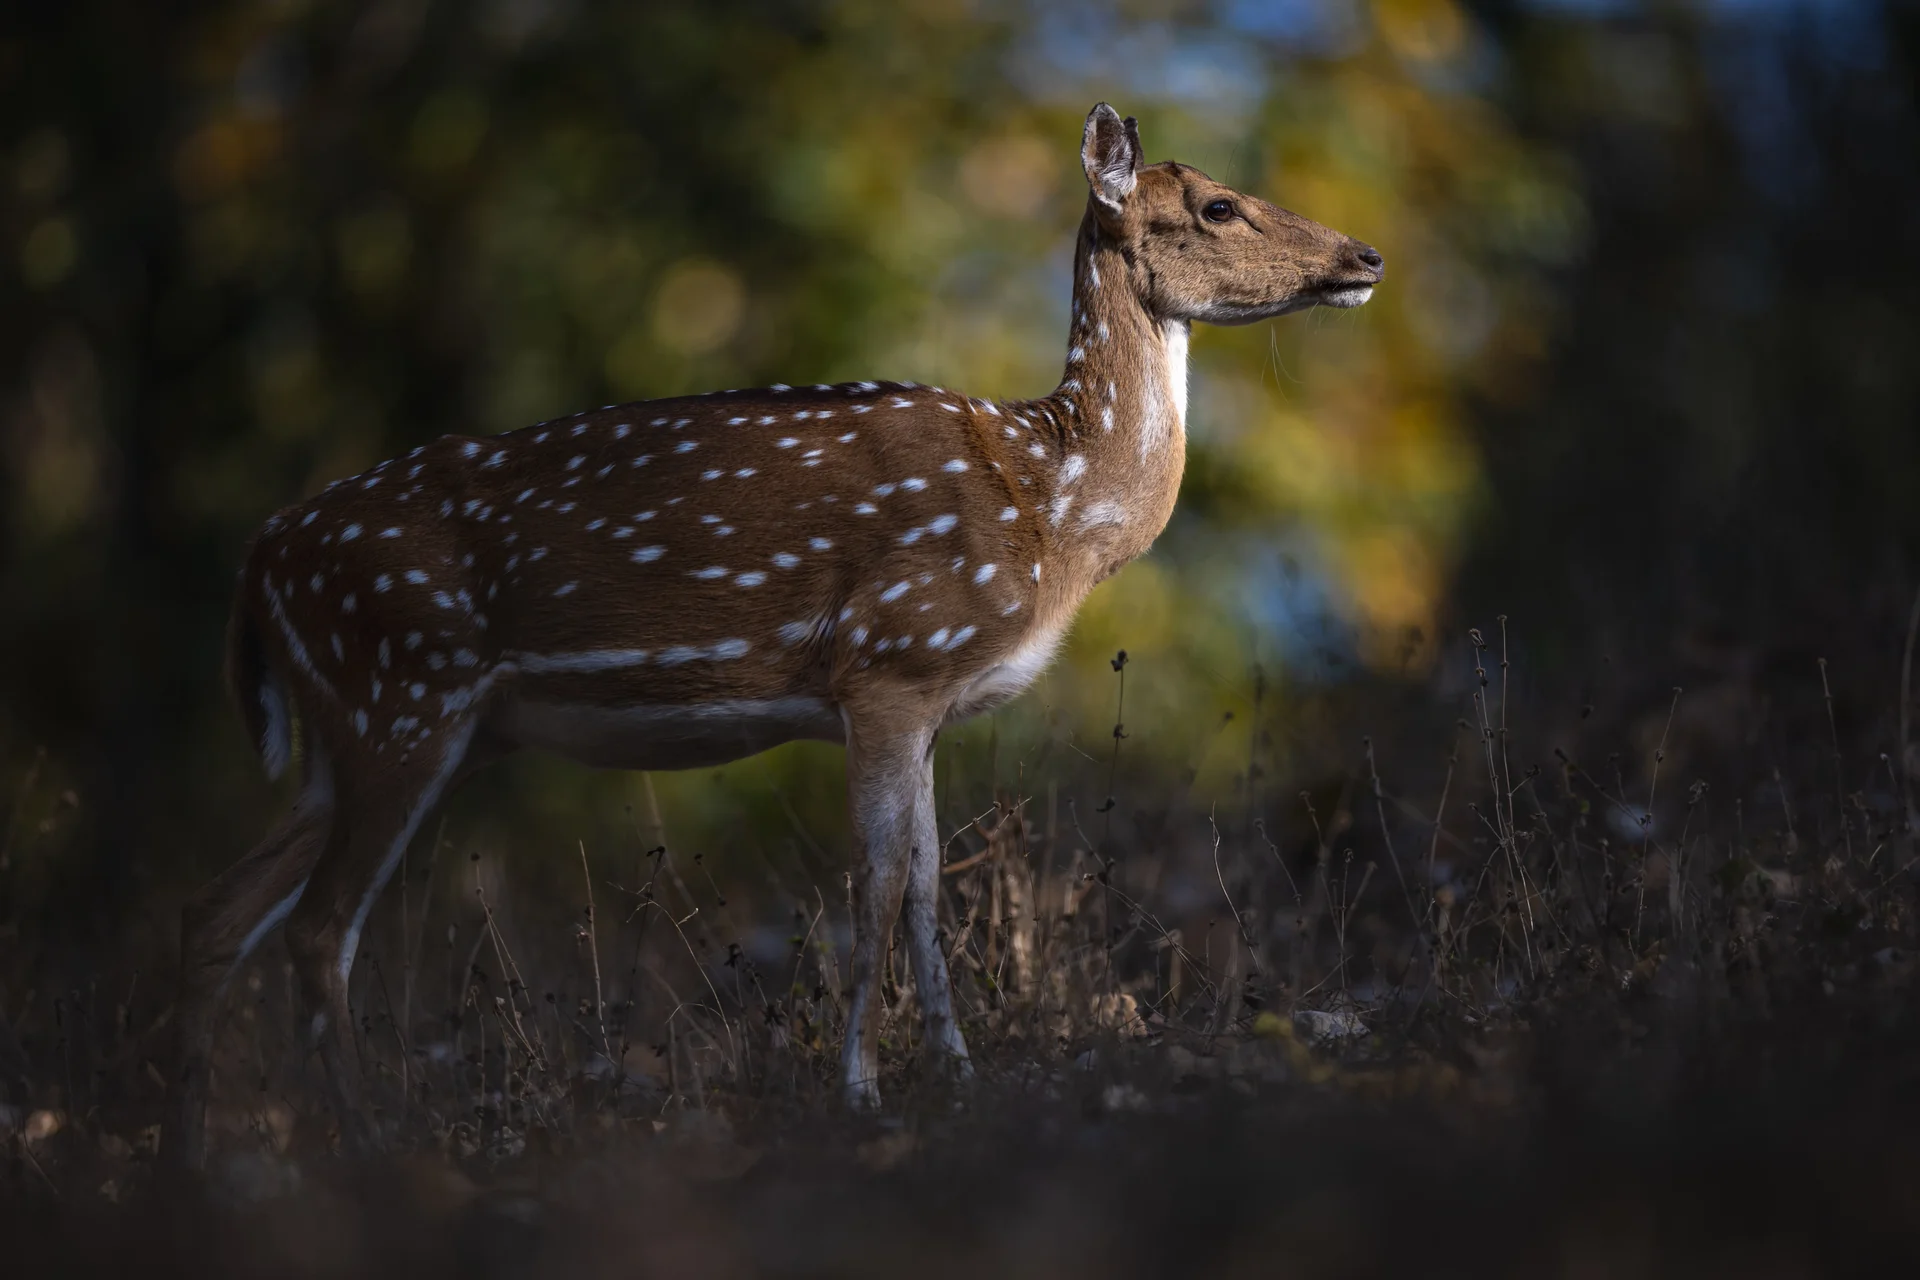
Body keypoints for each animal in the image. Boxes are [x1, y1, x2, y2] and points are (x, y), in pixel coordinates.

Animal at [160, 102, 1383, 1168]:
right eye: (1220, 204)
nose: (1365, 255)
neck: (1052, 506)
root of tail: (261, 558)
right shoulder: (888, 662)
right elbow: (874, 889)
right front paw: (860, 1091)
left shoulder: (928, 699)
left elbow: (931, 889)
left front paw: (959, 1076)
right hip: (402, 695)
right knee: (318, 930)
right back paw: (368, 1142)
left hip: (358, 732)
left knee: (218, 912)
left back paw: (197, 1148)